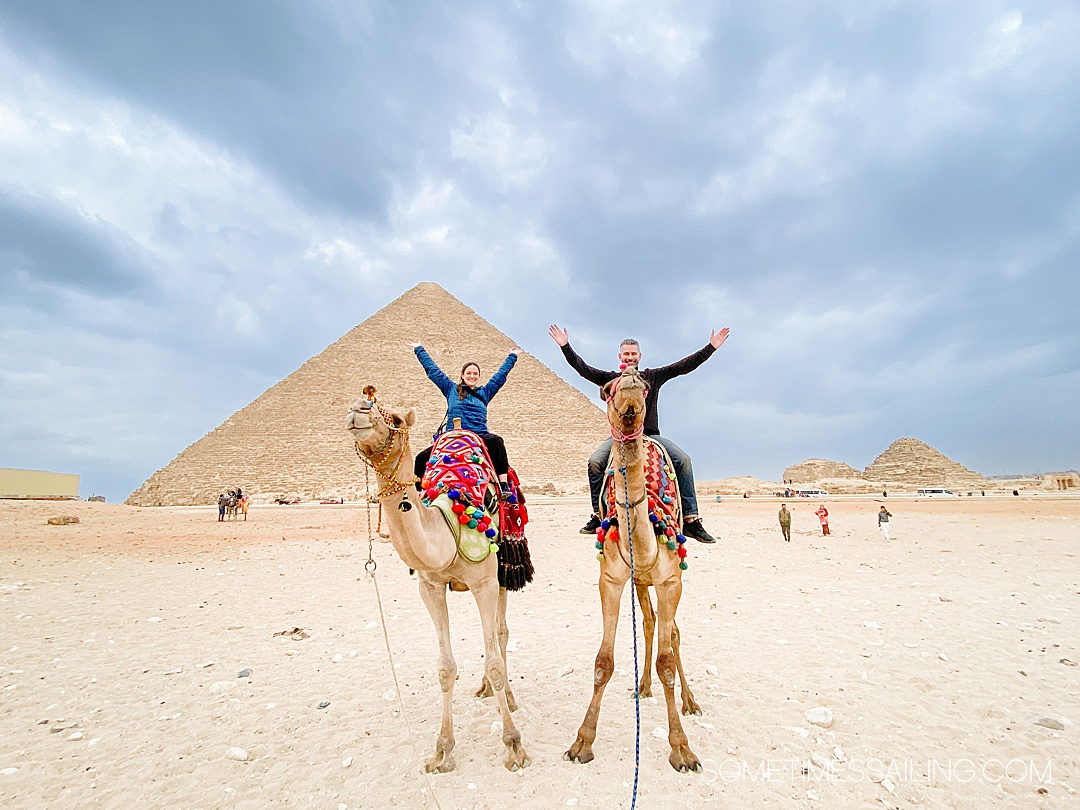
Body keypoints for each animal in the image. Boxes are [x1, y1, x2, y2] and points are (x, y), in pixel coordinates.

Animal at [345, 393, 531, 773]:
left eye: (396, 419)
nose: (359, 409)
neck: (449, 520)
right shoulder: (429, 587)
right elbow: (445, 668)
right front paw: (442, 751)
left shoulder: (485, 582)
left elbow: (495, 662)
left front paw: (514, 746)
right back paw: (485, 689)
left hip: (503, 571)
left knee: (501, 634)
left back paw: (508, 697)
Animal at [561, 367, 704, 773]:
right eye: (608, 388)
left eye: (644, 385)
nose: (629, 392)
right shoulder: (610, 580)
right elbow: (603, 662)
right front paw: (582, 742)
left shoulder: (671, 580)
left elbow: (667, 661)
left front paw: (682, 748)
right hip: (640, 581)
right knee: (651, 622)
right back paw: (642, 687)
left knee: (673, 634)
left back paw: (689, 701)